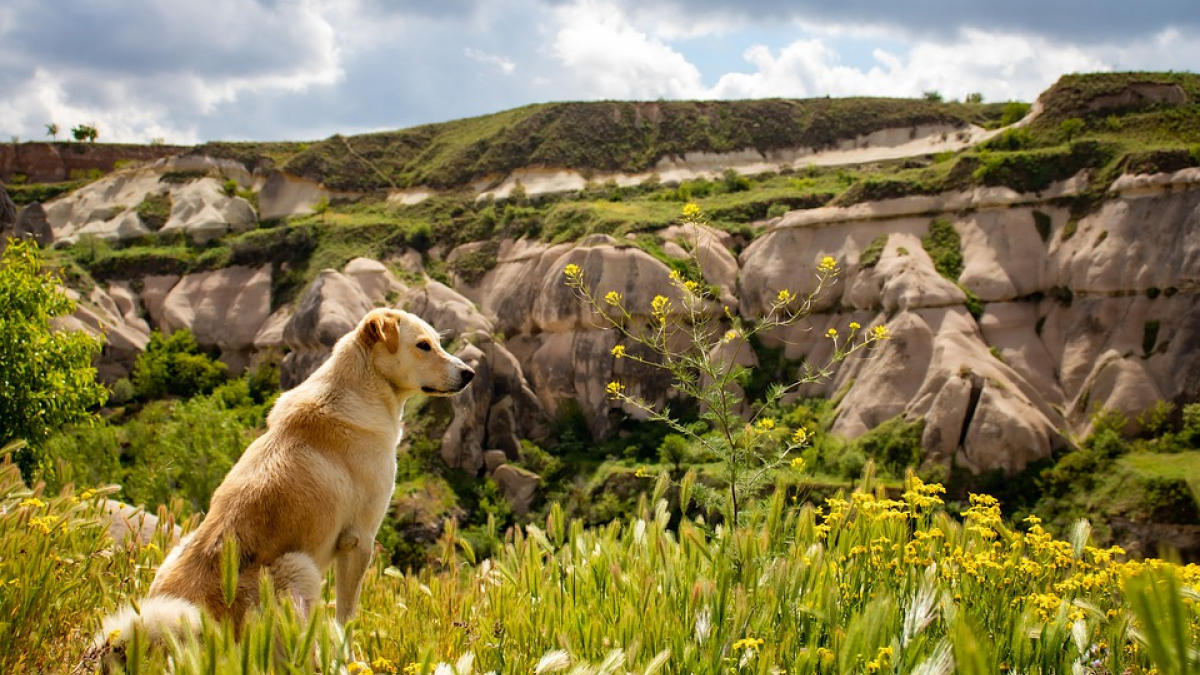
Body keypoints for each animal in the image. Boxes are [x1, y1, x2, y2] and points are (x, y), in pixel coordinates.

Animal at [83, 307, 472, 662]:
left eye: (438, 342)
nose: (470, 373)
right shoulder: (358, 540)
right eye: (423, 345)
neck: (361, 388)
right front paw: (348, 659)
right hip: (298, 568)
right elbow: (346, 616)